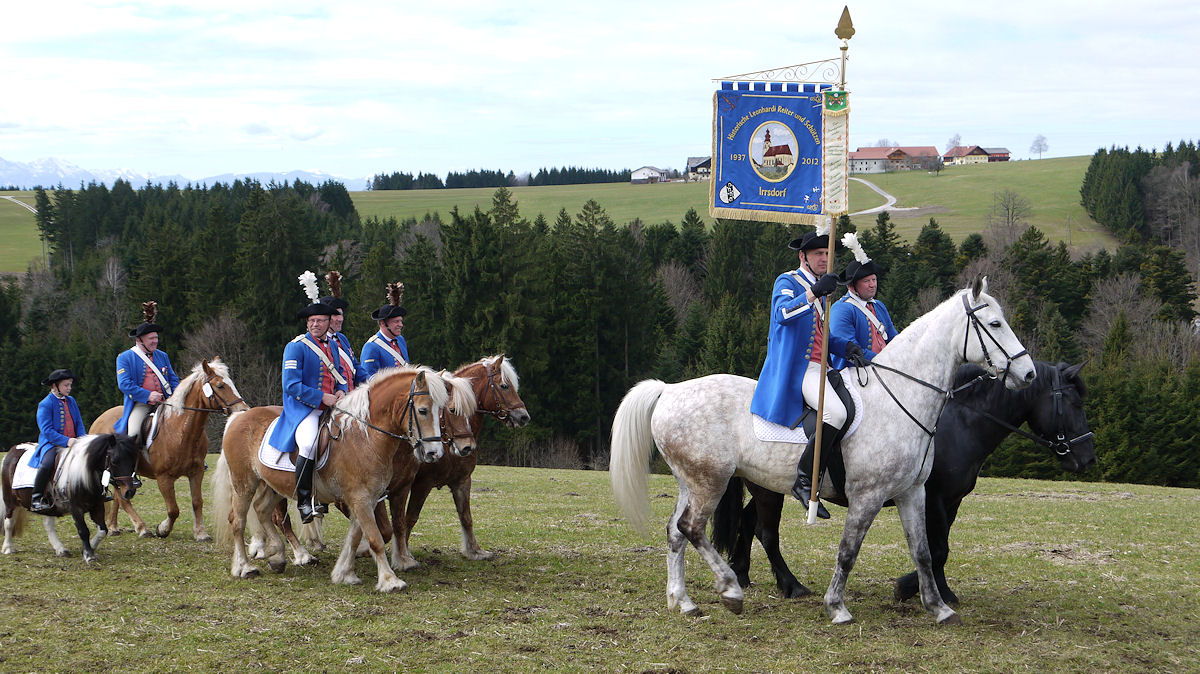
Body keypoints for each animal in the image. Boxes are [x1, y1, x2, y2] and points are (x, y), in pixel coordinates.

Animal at [2, 431, 141, 558]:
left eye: (134, 460)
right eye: (115, 461)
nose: (130, 491)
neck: (85, 474)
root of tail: (12, 451)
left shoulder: (97, 505)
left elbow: (103, 530)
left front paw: (90, 547)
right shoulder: (75, 507)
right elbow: (83, 530)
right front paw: (89, 555)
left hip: (50, 506)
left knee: (48, 525)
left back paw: (60, 549)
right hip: (10, 501)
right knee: (8, 523)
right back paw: (8, 548)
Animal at [88, 357, 246, 539]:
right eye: (220, 385)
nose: (243, 410)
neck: (180, 431)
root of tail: (98, 420)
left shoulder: (196, 472)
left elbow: (197, 502)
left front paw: (200, 533)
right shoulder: (164, 478)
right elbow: (173, 510)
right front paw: (162, 529)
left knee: (118, 496)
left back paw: (114, 527)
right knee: (123, 499)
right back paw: (142, 528)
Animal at [213, 364, 448, 590]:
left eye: (441, 411)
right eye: (423, 410)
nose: (434, 453)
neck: (364, 436)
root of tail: (238, 417)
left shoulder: (365, 499)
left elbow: (355, 537)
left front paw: (344, 573)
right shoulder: (360, 498)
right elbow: (375, 538)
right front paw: (390, 581)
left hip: (274, 485)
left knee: (262, 510)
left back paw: (279, 556)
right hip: (244, 484)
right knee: (238, 521)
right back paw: (245, 567)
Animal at [614, 275, 1036, 623]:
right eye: (995, 324)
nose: (1028, 373)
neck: (902, 396)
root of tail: (670, 390)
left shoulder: (913, 492)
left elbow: (924, 552)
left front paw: (938, 607)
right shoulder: (868, 496)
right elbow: (849, 552)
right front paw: (837, 607)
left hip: (692, 482)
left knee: (675, 532)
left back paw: (683, 601)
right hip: (711, 482)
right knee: (694, 528)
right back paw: (732, 590)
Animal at [710, 359, 1099, 599]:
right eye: (1075, 404)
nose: (1088, 458)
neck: (959, 422)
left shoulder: (951, 500)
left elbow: (938, 547)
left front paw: (940, 590)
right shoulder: (935, 496)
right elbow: (938, 547)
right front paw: (910, 587)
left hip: (766, 484)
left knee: (748, 522)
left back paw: (742, 573)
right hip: (767, 489)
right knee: (766, 532)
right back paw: (791, 585)